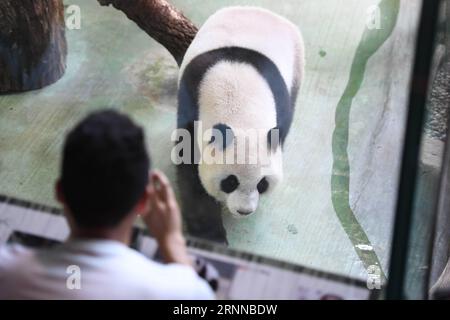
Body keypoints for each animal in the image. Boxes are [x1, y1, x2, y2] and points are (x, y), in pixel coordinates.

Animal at [174, 5, 304, 241]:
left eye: (262, 184)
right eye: (230, 182)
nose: (244, 211)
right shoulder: (191, 103)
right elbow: (190, 171)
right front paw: (211, 233)